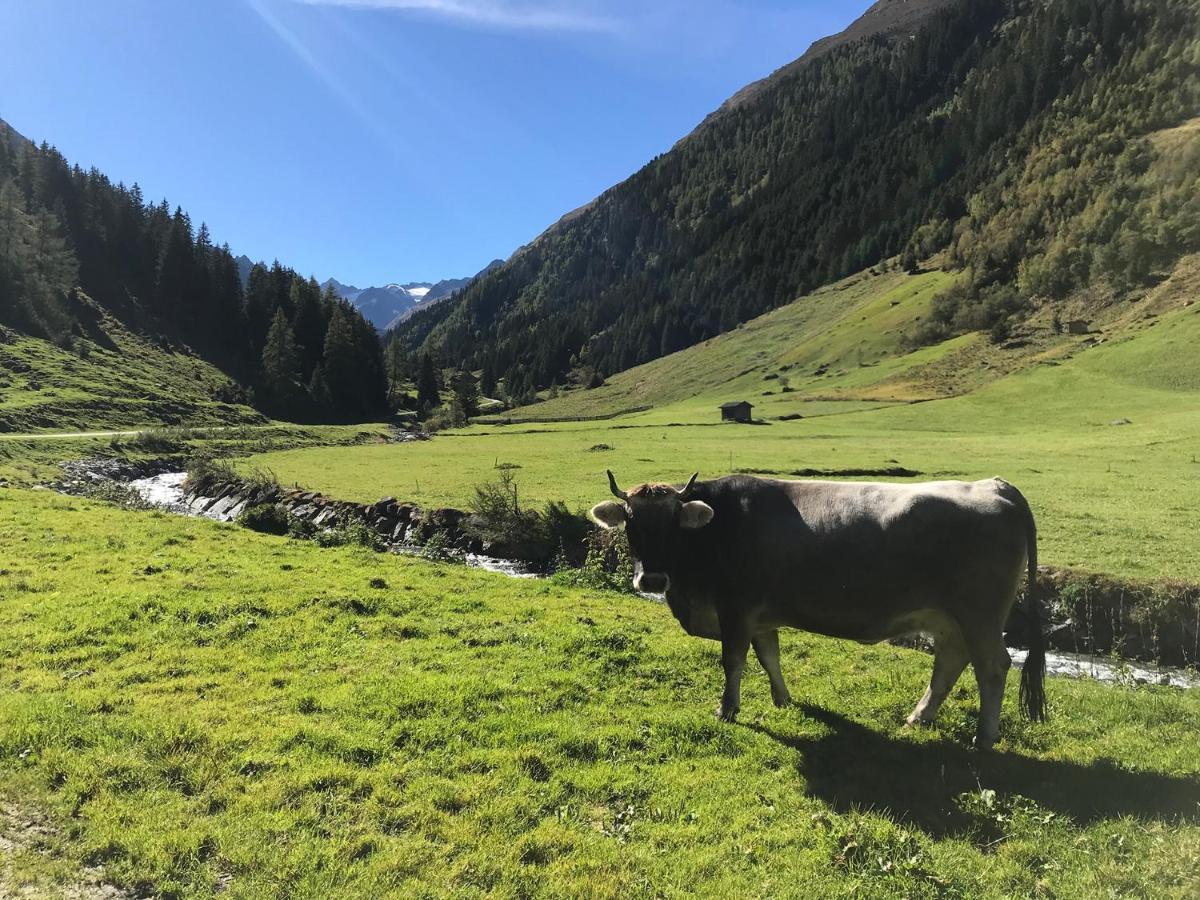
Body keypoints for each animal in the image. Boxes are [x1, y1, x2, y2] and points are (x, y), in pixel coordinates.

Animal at [595, 472, 1046, 753]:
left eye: (674, 522)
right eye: (631, 523)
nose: (652, 579)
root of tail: (995, 485)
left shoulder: (736, 607)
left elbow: (734, 661)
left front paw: (727, 709)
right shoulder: (760, 615)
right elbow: (770, 656)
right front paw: (783, 699)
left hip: (980, 615)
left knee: (992, 667)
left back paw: (983, 738)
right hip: (951, 619)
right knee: (950, 663)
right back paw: (918, 718)